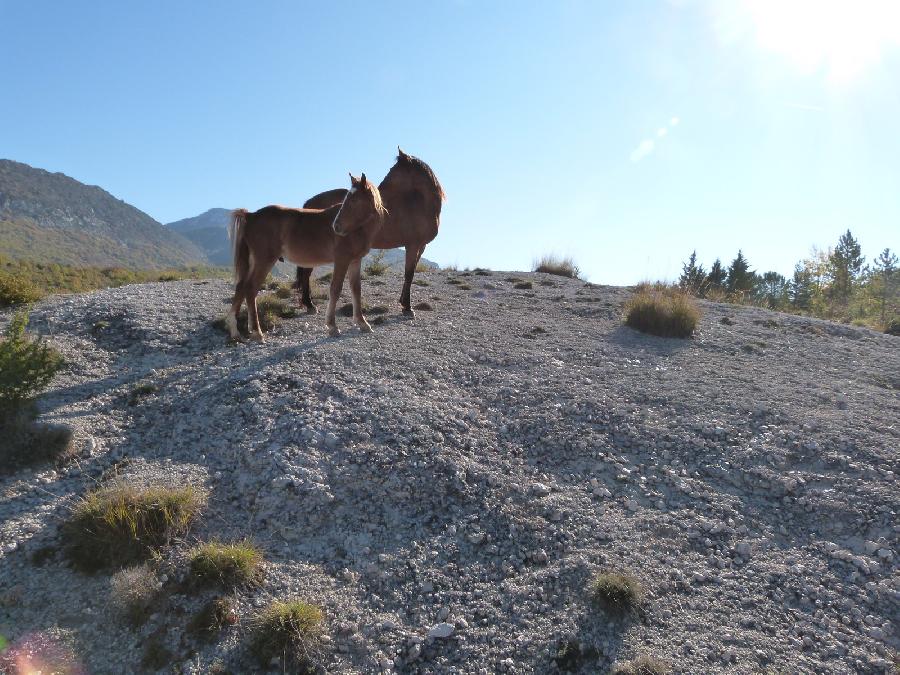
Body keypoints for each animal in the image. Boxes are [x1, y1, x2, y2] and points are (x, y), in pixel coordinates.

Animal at [227, 174, 384, 344]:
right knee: (250, 289)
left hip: (253, 261)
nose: (336, 227)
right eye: (346, 199)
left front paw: (362, 323)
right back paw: (257, 332)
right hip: (264, 260)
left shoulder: (355, 261)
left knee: (241, 287)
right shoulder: (342, 260)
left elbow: (356, 289)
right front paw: (332, 326)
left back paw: (235, 331)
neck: (357, 229)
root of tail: (251, 216)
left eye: (354, 201)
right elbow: (335, 289)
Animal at [300, 147, 444, 314]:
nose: (377, 193)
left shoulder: (421, 246)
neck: (420, 205)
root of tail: (309, 203)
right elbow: (409, 274)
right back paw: (310, 304)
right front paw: (408, 307)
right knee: (306, 273)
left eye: (393, 171)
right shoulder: (412, 245)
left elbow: (411, 272)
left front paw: (403, 302)